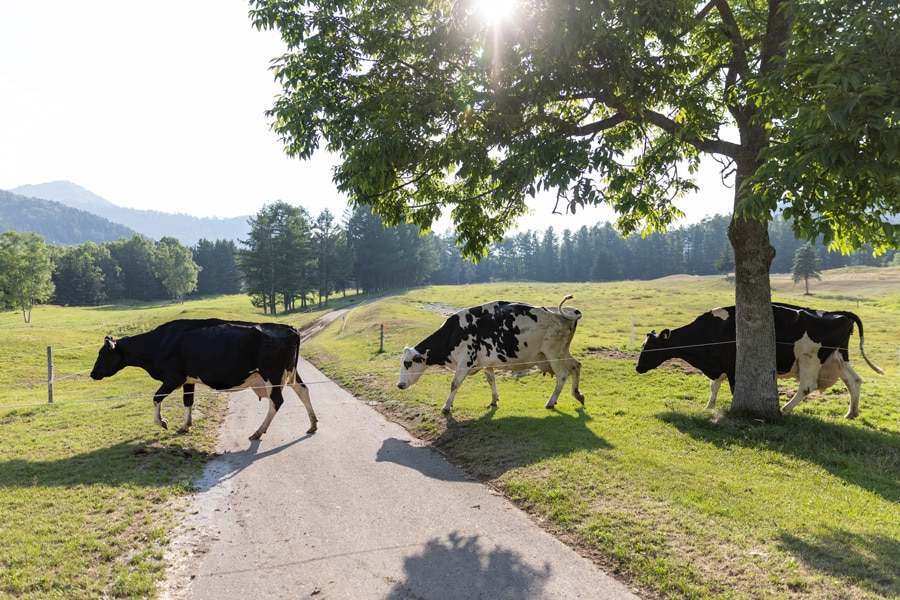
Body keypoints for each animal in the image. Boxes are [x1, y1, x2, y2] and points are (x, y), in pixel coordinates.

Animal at [396, 294, 584, 412]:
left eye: (407, 363)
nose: (399, 385)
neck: (454, 333)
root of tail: (566, 311)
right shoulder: (486, 362)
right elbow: (491, 379)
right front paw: (494, 400)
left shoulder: (466, 360)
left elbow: (454, 384)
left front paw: (446, 407)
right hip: (561, 352)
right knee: (576, 366)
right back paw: (578, 394)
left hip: (553, 353)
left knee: (563, 375)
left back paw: (550, 402)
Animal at [636, 304, 884, 418]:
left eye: (649, 347)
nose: (637, 367)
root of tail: (839, 313)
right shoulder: (719, 365)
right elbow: (714, 386)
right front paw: (709, 406)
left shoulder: (732, 366)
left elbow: (734, 389)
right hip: (838, 356)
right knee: (854, 380)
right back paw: (851, 413)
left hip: (810, 358)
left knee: (806, 387)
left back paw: (784, 409)